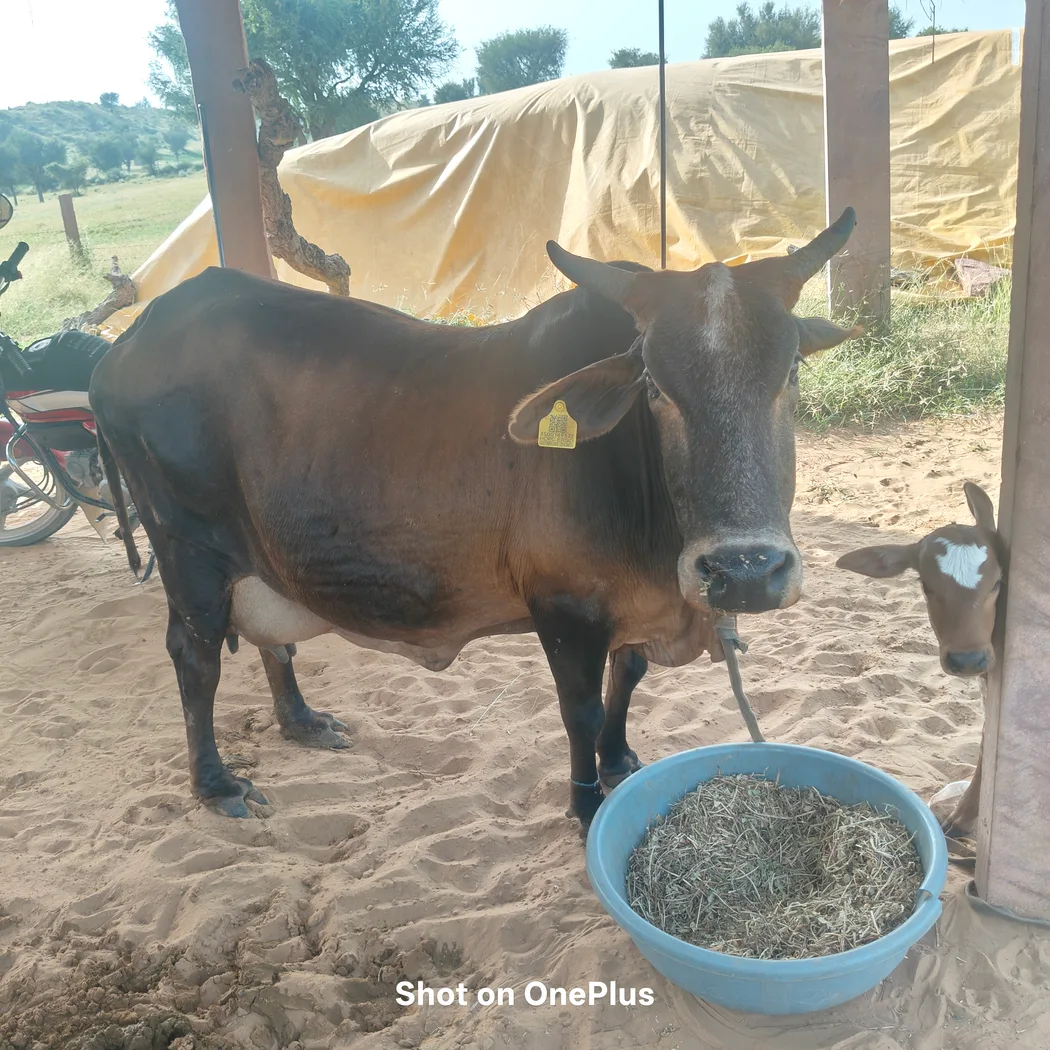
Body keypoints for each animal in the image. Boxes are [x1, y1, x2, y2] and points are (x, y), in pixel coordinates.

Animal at [90, 209, 862, 835]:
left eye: (791, 371)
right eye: (653, 386)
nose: (745, 571)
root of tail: (127, 343)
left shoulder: (628, 608)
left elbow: (628, 678)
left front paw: (620, 761)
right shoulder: (565, 609)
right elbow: (581, 709)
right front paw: (587, 804)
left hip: (254, 558)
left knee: (275, 643)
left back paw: (303, 722)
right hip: (188, 552)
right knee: (194, 658)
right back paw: (217, 784)